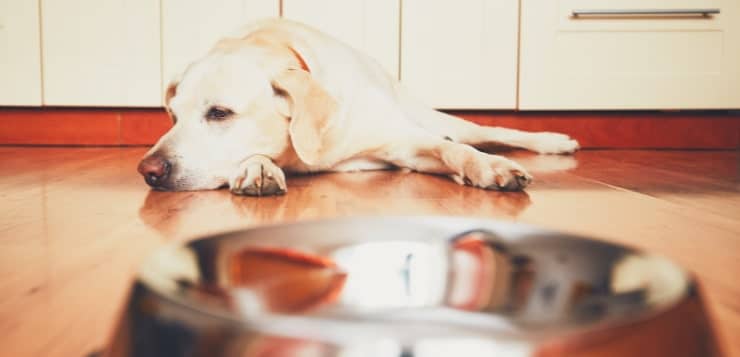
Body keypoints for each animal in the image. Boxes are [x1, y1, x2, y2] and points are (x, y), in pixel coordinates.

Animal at [137, 18, 580, 195]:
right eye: (173, 116)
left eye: (219, 113)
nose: (148, 170)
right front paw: (257, 167)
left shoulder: (406, 143)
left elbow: (454, 150)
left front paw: (490, 168)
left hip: (433, 118)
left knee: (485, 132)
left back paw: (555, 141)